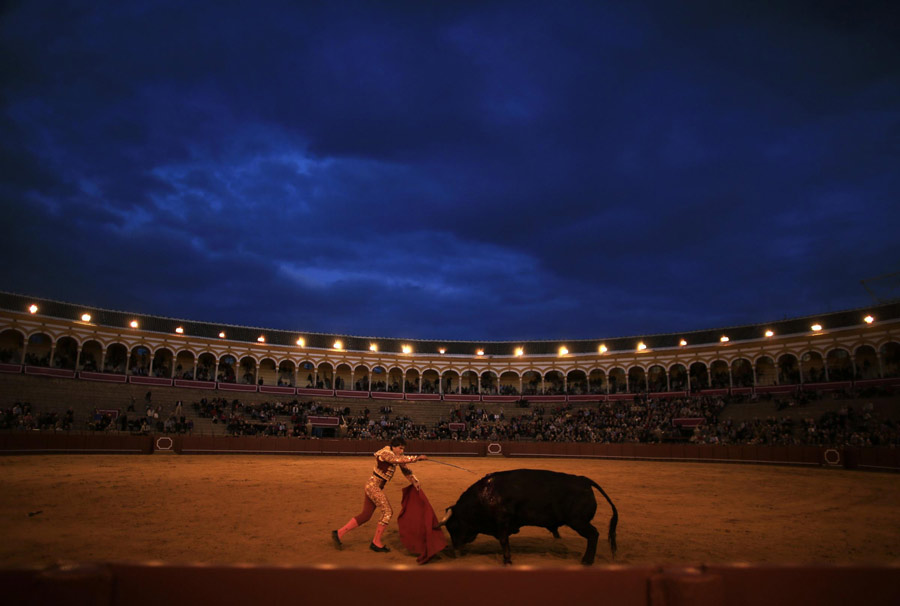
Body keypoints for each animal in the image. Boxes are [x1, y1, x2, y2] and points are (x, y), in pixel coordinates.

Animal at [436, 470, 620, 564]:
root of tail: (584, 481)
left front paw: (507, 560)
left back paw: (587, 561)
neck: (485, 495)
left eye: (453, 527)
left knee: (593, 535)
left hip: (578, 521)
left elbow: (503, 540)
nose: (456, 551)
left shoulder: (502, 521)